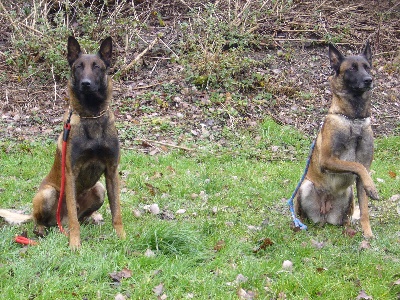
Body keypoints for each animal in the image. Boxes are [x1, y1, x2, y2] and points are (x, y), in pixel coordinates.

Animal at [33, 36, 126, 250]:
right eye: (78, 67)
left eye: (97, 67)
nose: (85, 84)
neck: (91, 115)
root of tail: (58, 221)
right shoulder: (71, 173)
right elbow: (74, 221)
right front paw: (75, 243)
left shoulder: (111, 171)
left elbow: (116, 211)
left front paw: (122, 237)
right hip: (47, 193)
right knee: (47, 220)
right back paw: (41, 229)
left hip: (99, 189)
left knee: (80, 217)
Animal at [296, 41, 380, 239]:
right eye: (351, 68)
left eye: (367, 67)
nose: (369, 80)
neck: (353, 119)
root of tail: (324, 215)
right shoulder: (328, 160)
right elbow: (355, 165)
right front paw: (373, 188)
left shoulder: (363, 172)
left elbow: (364, 209)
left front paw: (368, 234)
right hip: (305, 186)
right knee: (300, 215)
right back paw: (298, 226)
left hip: (348, 194)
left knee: (346, 219)